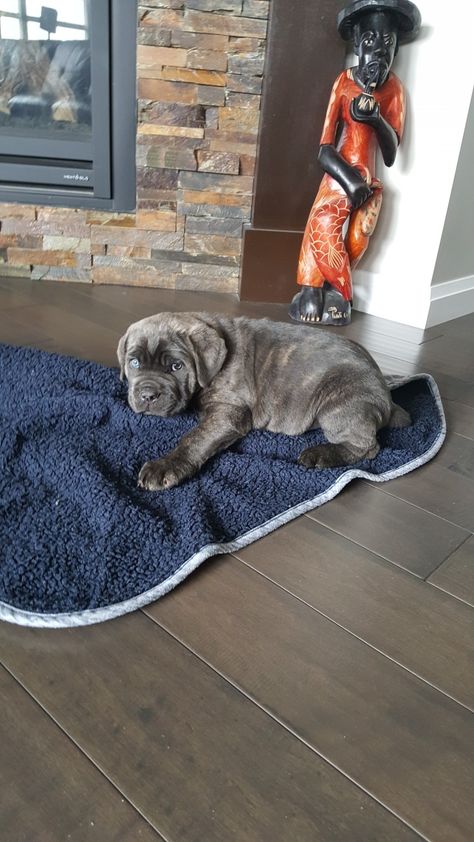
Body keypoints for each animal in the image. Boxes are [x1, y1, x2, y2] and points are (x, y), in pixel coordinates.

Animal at [116, 312, 410, 488]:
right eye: (134, 363)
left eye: (176, 366)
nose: (147, 395)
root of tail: (385, 392)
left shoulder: (227, 413)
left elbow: (194, 439)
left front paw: (165, 466)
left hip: (340, 400)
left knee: (367, 446)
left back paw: (319, 455)